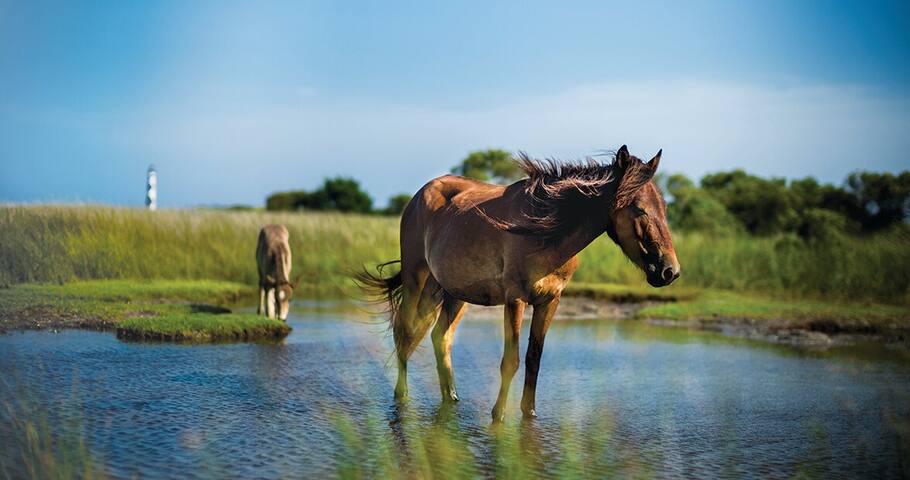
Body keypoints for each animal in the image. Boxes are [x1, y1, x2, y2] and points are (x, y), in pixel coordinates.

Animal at [360, 145, 680, 420]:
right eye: (639, 208)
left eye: (665, 208)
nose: (670, 271)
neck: (544, 233)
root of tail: (420, 196)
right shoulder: (516, 299)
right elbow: (511, 361)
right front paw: (498, 416)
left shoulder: (550, 301)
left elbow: (533, 359)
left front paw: (530, 413)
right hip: (417, 279)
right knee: (404, 333)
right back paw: (402, 396)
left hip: (452, 292)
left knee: (440, 337)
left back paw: (451, 398)